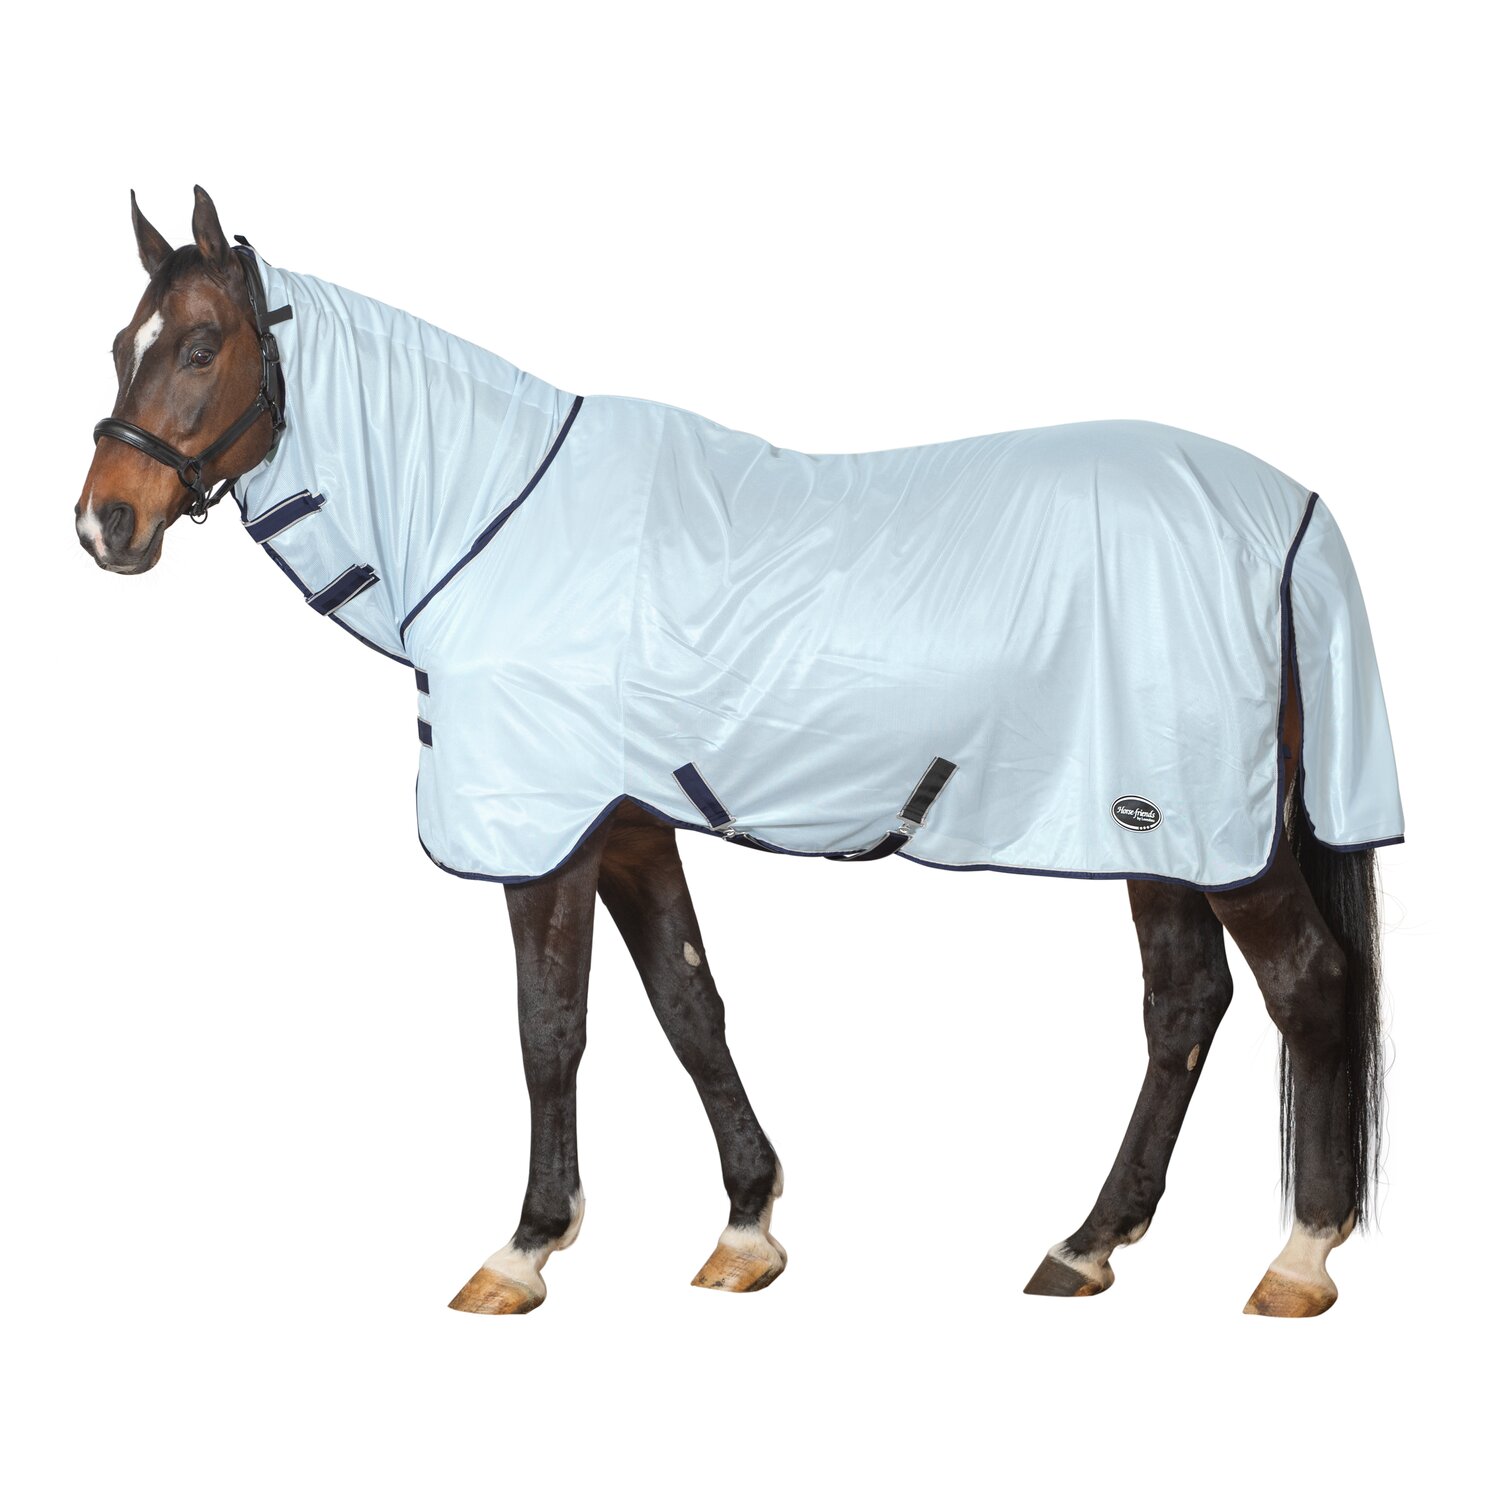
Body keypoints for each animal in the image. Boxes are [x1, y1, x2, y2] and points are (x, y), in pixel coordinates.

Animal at [76, 187, 1402, 1317]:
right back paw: (1085, 1247)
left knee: (1306, 987)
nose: (105, 523)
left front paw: (525, 1248)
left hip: (1217, 838)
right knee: (1184, 1006)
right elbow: (689, 1006)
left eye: (200, 347)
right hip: (1161, 833)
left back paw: (1299, 1258)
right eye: (120, 344)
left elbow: (551, 1028)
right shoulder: (626, 827)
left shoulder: (547, 843)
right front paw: (747, 1229)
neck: (498, 523)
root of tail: (1293, 518)